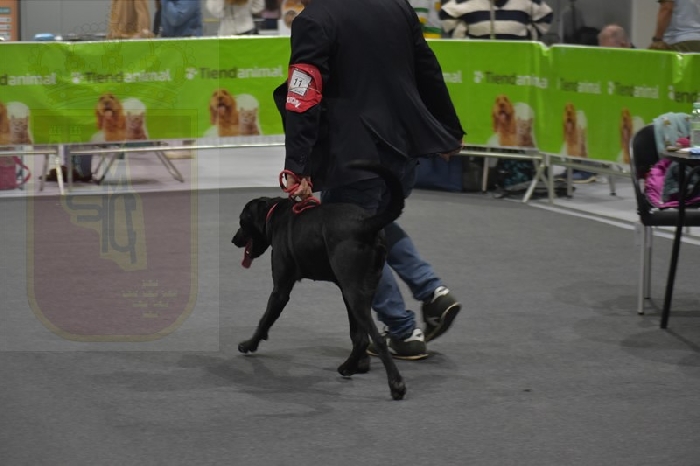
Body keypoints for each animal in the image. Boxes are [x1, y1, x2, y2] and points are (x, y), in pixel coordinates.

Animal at [231, 162, 408, 400]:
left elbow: (265, 319)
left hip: (353, 293)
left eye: (242, 221)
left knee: (375, 339)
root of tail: (366, 224)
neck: (273, 214)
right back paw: (349, 367)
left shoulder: (281, 289)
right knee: (360, 337)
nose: (234, 239)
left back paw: (395, 384)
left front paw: (249, 344)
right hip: (357, 291)